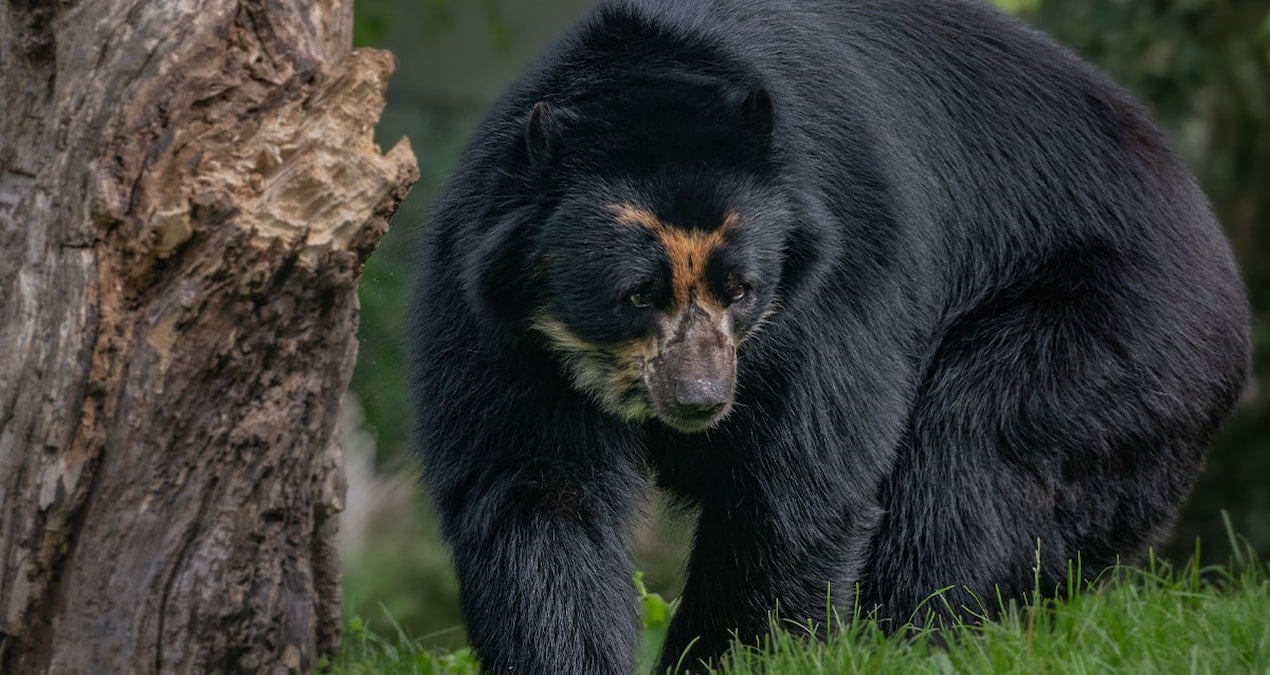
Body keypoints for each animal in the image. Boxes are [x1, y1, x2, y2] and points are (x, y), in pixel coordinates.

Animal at [408, 1, 1249, 675]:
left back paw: (906, 637)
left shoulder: (838, 279)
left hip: (1117, 334)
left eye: (742, 289)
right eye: (637, 293)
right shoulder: (493, 313)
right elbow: (535, 489)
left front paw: (736, 655)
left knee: (971, 463)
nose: (700, 397)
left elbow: (798, 483)